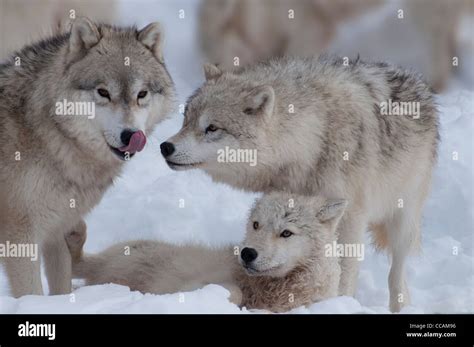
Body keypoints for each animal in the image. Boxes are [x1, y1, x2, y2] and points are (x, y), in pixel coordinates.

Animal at [0, 17, 176, 298]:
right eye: (103, 92)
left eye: (142, 94)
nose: (131, 135)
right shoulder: (19, 237)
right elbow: (32, 293)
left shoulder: (56, 229)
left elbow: (61, 287)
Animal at [64, 194, 344, 314]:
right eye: (256, 225)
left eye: (286, 233)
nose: (247, 253)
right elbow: (232, 290)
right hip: (130, 254)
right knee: (81, 263)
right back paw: (73, 233)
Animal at [160, 56, 440, 312]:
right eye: (186, 120)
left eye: (211, 128)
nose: (165, 146)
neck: (316, 137)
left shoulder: (351, 218)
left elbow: (345, 272)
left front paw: (340, 303)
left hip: (403, 222)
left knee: (396, 274)